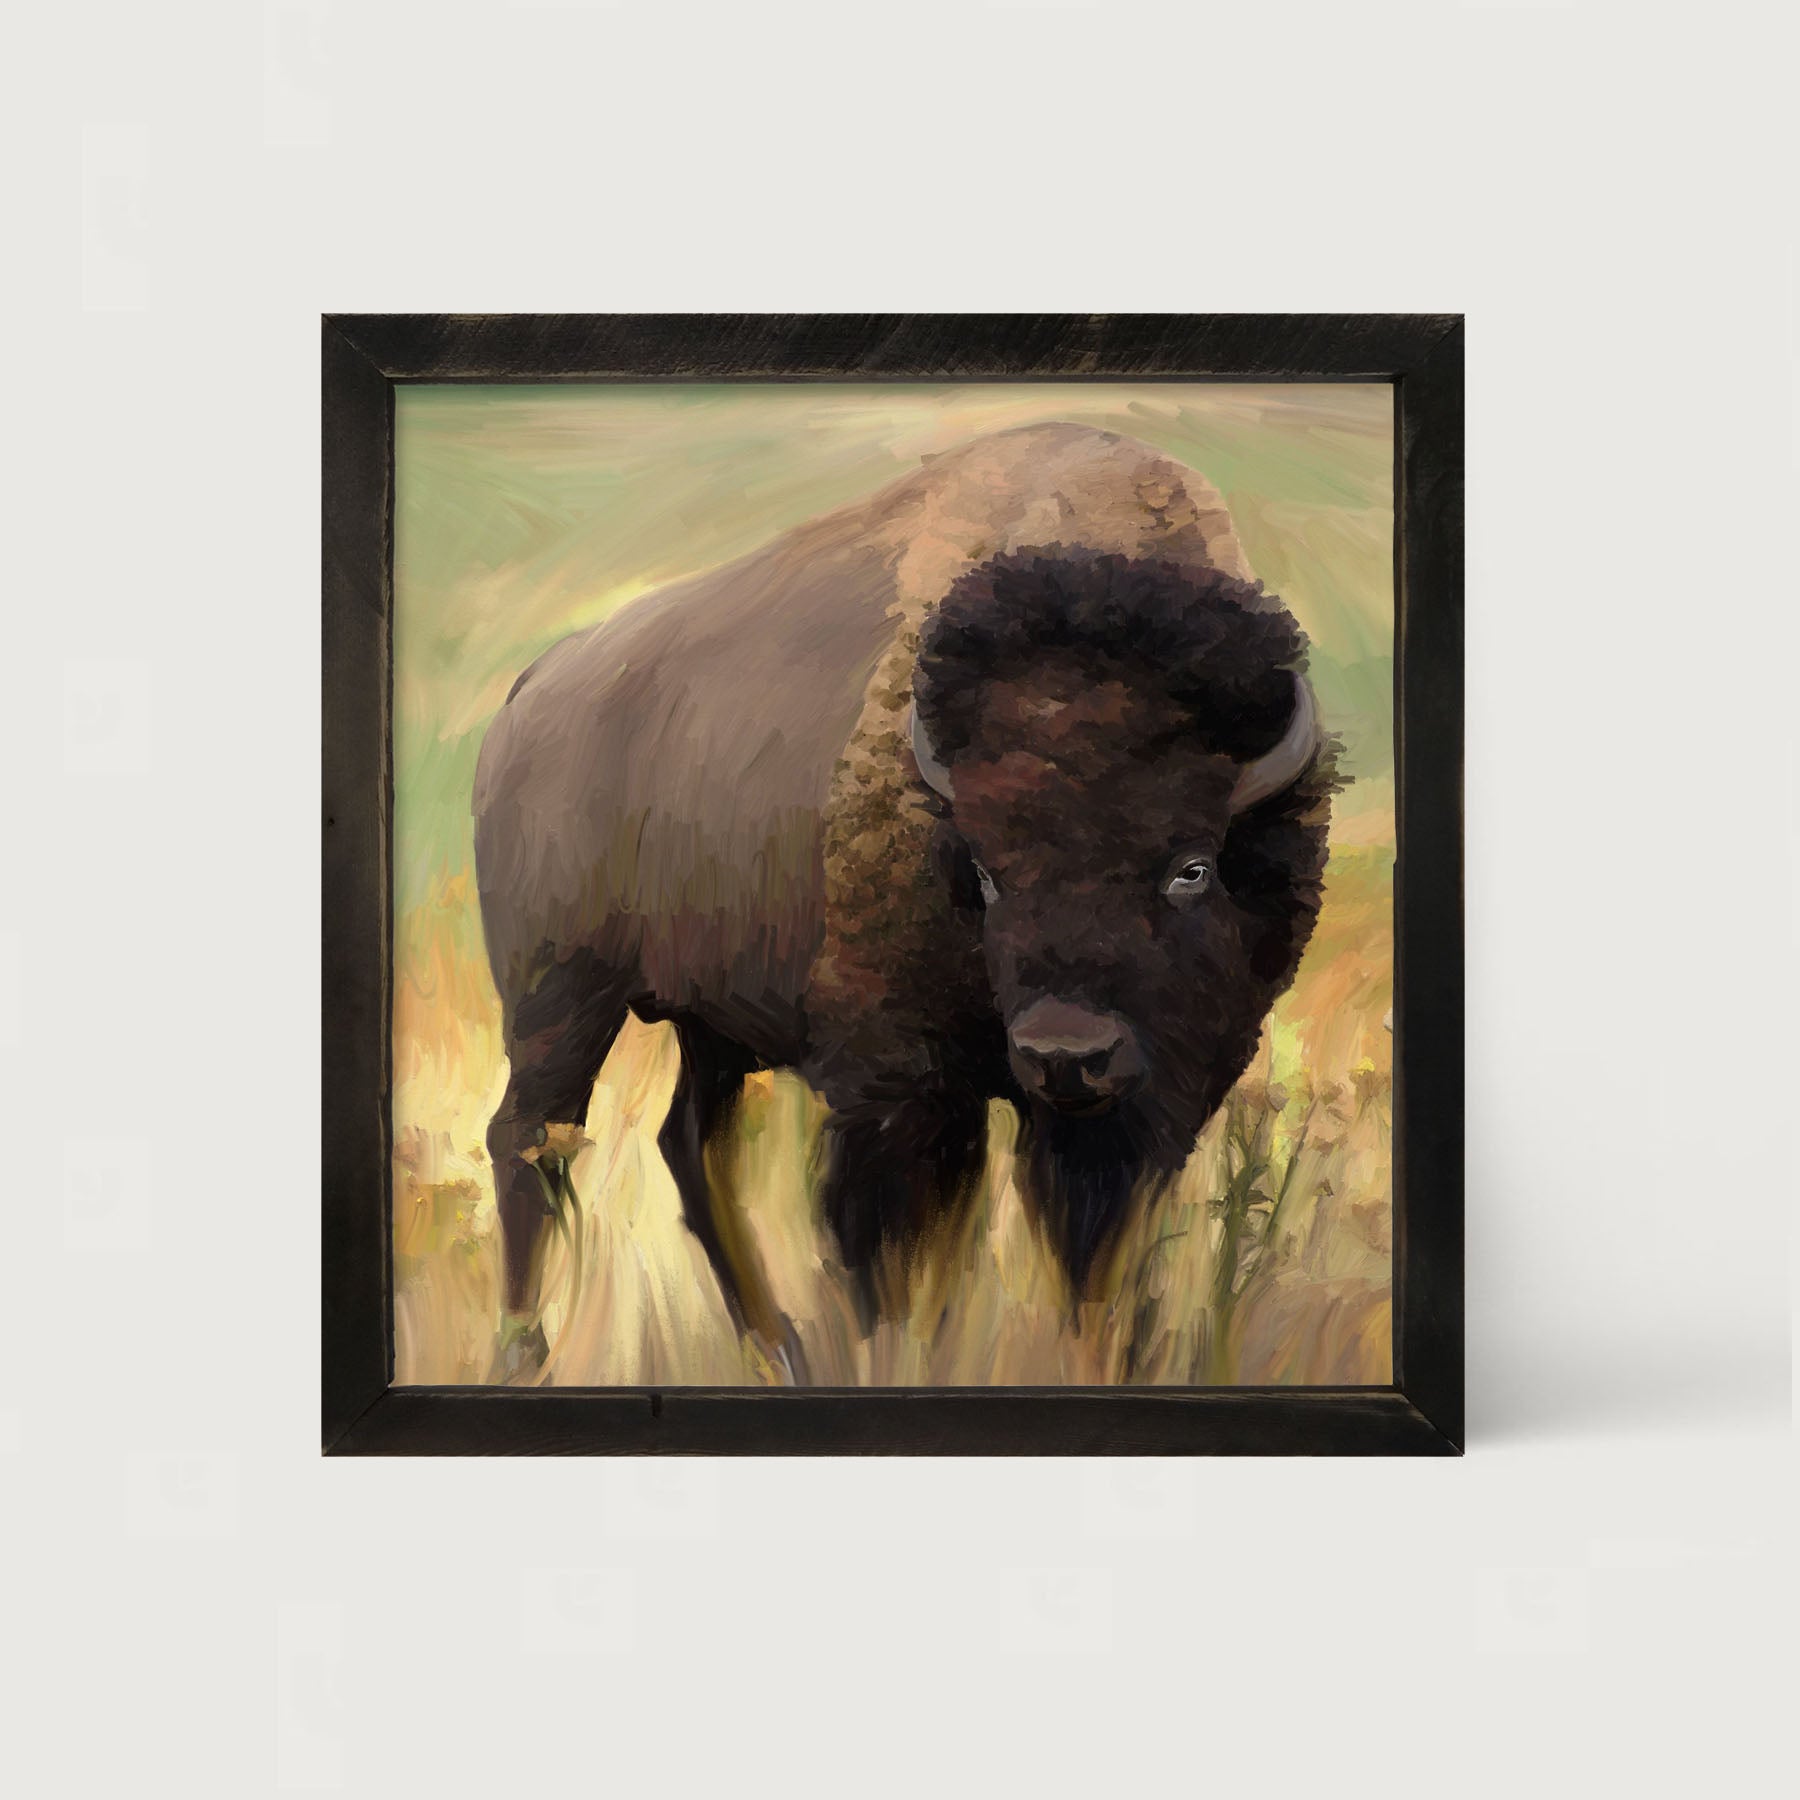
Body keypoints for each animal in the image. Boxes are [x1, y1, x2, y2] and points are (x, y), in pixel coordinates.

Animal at [473, 422, 1334, 1368]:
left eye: (1191, 866)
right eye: (987, 872)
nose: (1065, 1053)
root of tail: (531, 693)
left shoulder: (1132, 1112)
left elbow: (1088, 1261)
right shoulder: (898, 1094)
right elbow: (892, 1259)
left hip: (711, 1025)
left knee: (689, 1145)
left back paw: (778, 1350)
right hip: (559, 997)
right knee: (530, 1141)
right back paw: (526, 1350)